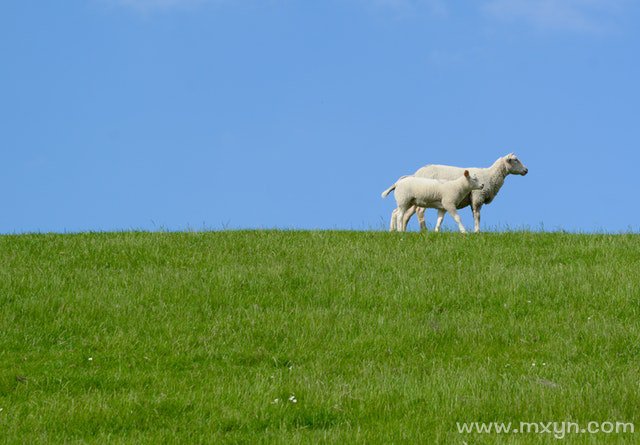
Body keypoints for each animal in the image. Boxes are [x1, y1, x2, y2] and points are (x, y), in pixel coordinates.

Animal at [388, 153, 528, 232]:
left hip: (413, 200)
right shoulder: (477, 197)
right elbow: (477, 216)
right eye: (515, 160)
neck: (490, 175)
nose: (526, 170)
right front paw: (477, 231)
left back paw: (398, 230)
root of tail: (415, 173)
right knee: (418, 212)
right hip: (423, 197)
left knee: (401, 214)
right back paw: (423, 230)